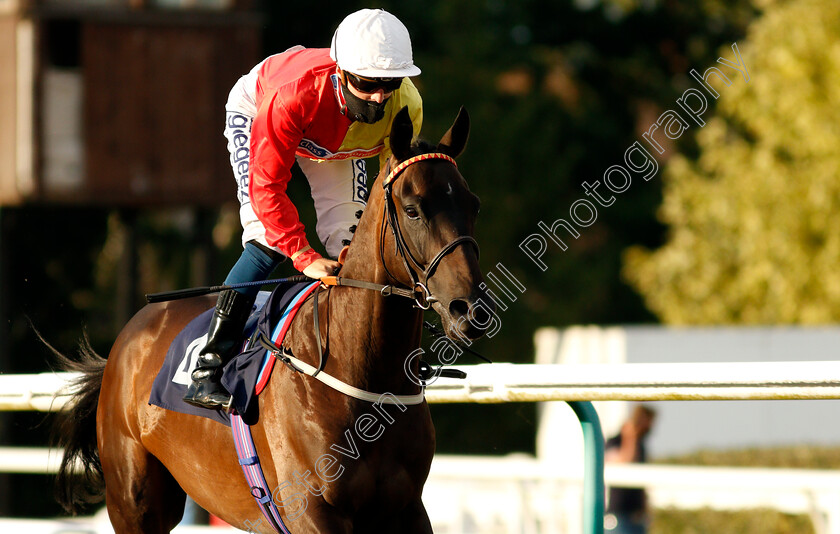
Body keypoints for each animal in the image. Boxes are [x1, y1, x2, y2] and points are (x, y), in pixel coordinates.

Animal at [54, 107, 492, 532]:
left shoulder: (407, 510)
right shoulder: (311, 511)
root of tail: (132, 332)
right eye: (413, 209)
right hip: (134, 504)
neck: (359, 370)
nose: (469, 309)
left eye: (473, 204)